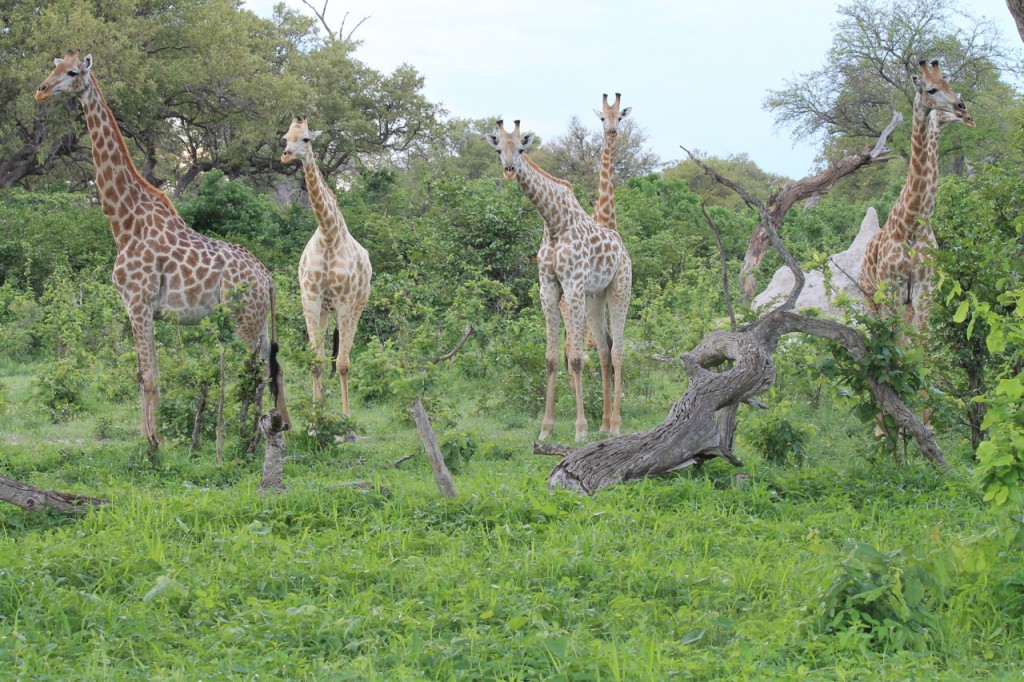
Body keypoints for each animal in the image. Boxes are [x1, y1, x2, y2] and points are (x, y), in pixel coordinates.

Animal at [34, 50, 290, 448]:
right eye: (54, 67)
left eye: (73, 72)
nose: (41, 90)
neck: (125, 223)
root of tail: (268, 276)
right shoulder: (138, 307)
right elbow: (143, 374)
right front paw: (149, 439)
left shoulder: (138, 302)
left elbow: (149, 374)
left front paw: (154, 445)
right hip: (259, 321)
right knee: (269, 369)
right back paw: (260, 432)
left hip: (243, 319)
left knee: (253, 371)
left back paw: (244, 439)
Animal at [280, 115, 372, 413]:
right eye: (285, 138)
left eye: (306, 139)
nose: (286, 155)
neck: (328, 234)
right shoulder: (310, 298)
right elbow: (316, 361)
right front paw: (315, 412)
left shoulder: (344, 300)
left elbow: (342, 364)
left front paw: (345, 415)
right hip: (324, 310)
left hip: (357, 306)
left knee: (344, 355)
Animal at [483, 118, 626, 440]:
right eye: (498, 148)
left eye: (521, 148)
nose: (509, 169)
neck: (553, 222)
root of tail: (622, 245)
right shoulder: (547, 288)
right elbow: (551, 359)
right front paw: (546, 429)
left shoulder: (572, 286)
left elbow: (575, 358)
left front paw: (580, 430)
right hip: (595, 298)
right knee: (605, 350)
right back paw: (604, 423)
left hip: (620, 288)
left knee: (618, 351)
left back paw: (614, 426)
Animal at [856, 59, 974, 329]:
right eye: (931, 89)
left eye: (949, 84)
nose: (963, 111)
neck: (911, 226)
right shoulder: (892, 290)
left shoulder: (924, 290)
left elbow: (924, 340)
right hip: (871, 298)